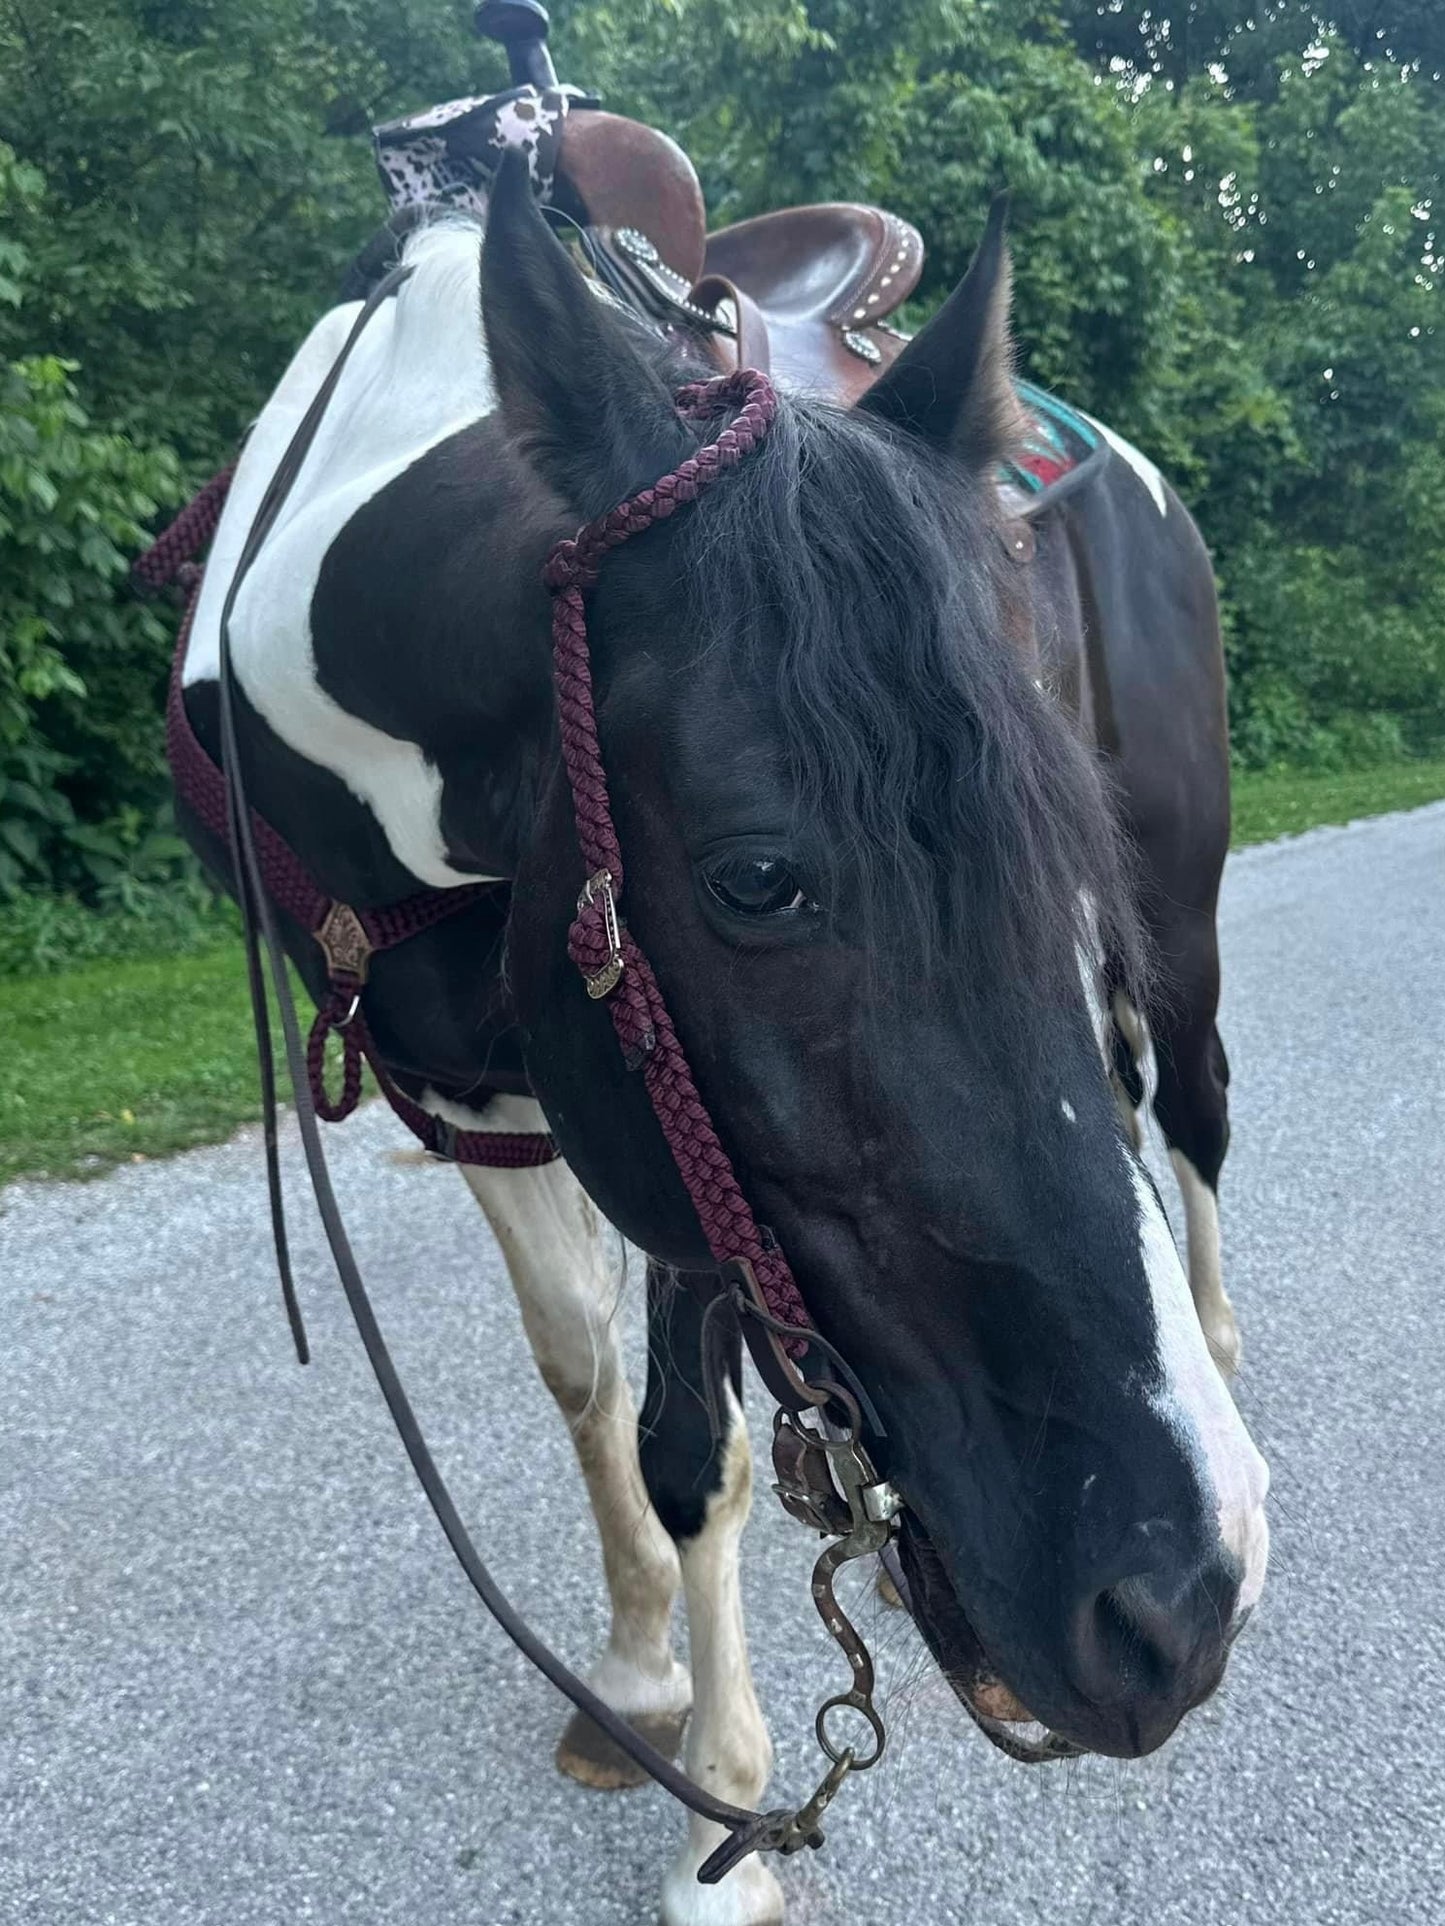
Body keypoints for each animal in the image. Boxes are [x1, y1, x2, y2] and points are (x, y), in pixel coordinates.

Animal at [172, 161, 1263, 1926]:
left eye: (1065, 838)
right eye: (755, 876)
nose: (1180, 1594)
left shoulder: (676, 1155)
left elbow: (696, 1451)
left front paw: (725, 1822)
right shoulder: (489, 1084)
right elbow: (582, 1370)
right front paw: (635, 1668)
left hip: (1181, 916)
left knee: (1197, 1116)